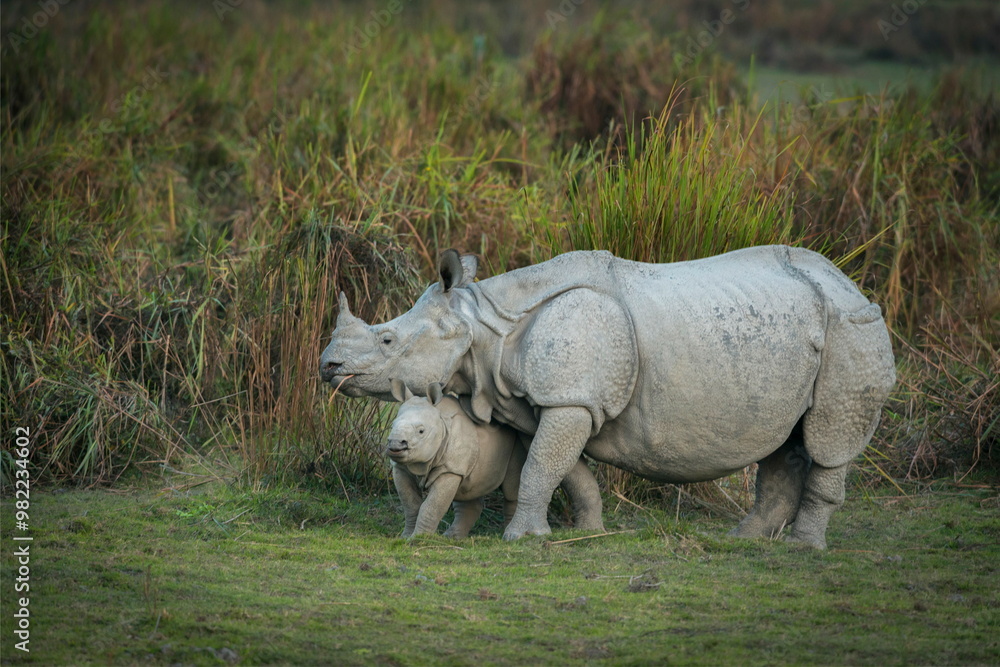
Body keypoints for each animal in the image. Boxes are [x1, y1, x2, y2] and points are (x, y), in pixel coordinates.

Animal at [386, 380, 527, 538]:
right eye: (392, 426)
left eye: (421, 431)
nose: (395, 444)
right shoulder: (400, 467)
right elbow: (410, 504)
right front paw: (405, 537)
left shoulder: (450, 469)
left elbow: (430, 507)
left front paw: (418, 538)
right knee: (468, 490)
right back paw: (453, 537)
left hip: (517, 442)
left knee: (511, 489)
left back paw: (509, 534)